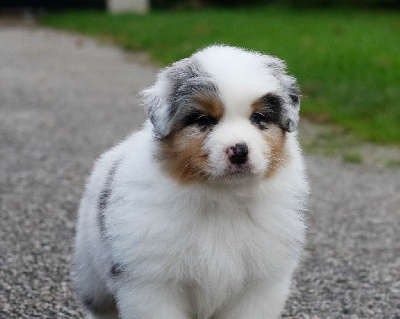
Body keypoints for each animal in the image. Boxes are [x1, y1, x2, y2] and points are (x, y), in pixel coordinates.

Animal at [72, 45, 310, 319]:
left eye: (258, 118)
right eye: (203, 120)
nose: (239, 151)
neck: (222, 200)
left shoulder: (260, 283)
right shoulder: (152, 283)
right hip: (93, 275)